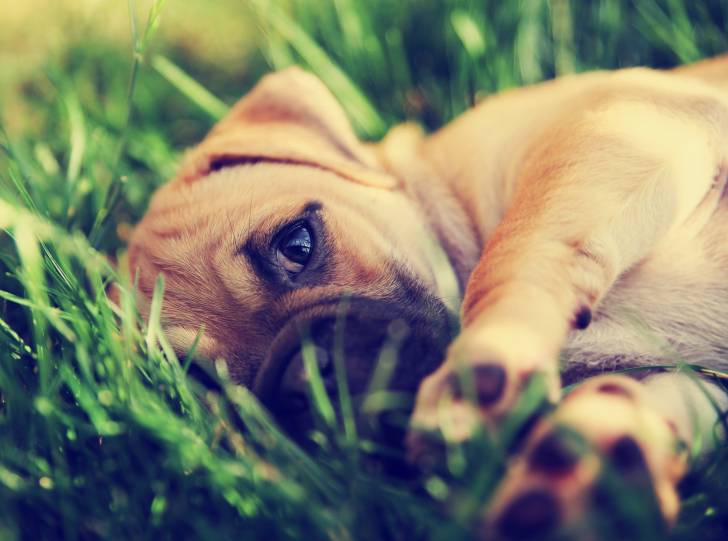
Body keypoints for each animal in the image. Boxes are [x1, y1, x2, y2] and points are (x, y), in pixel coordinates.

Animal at [128, 53, 728, 536]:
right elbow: (656, 400)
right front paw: (589, 477)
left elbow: (515, 251)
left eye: (296, 244)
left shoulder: (617, 126)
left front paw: (479, 373)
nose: (301, 380)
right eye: (208, 385)